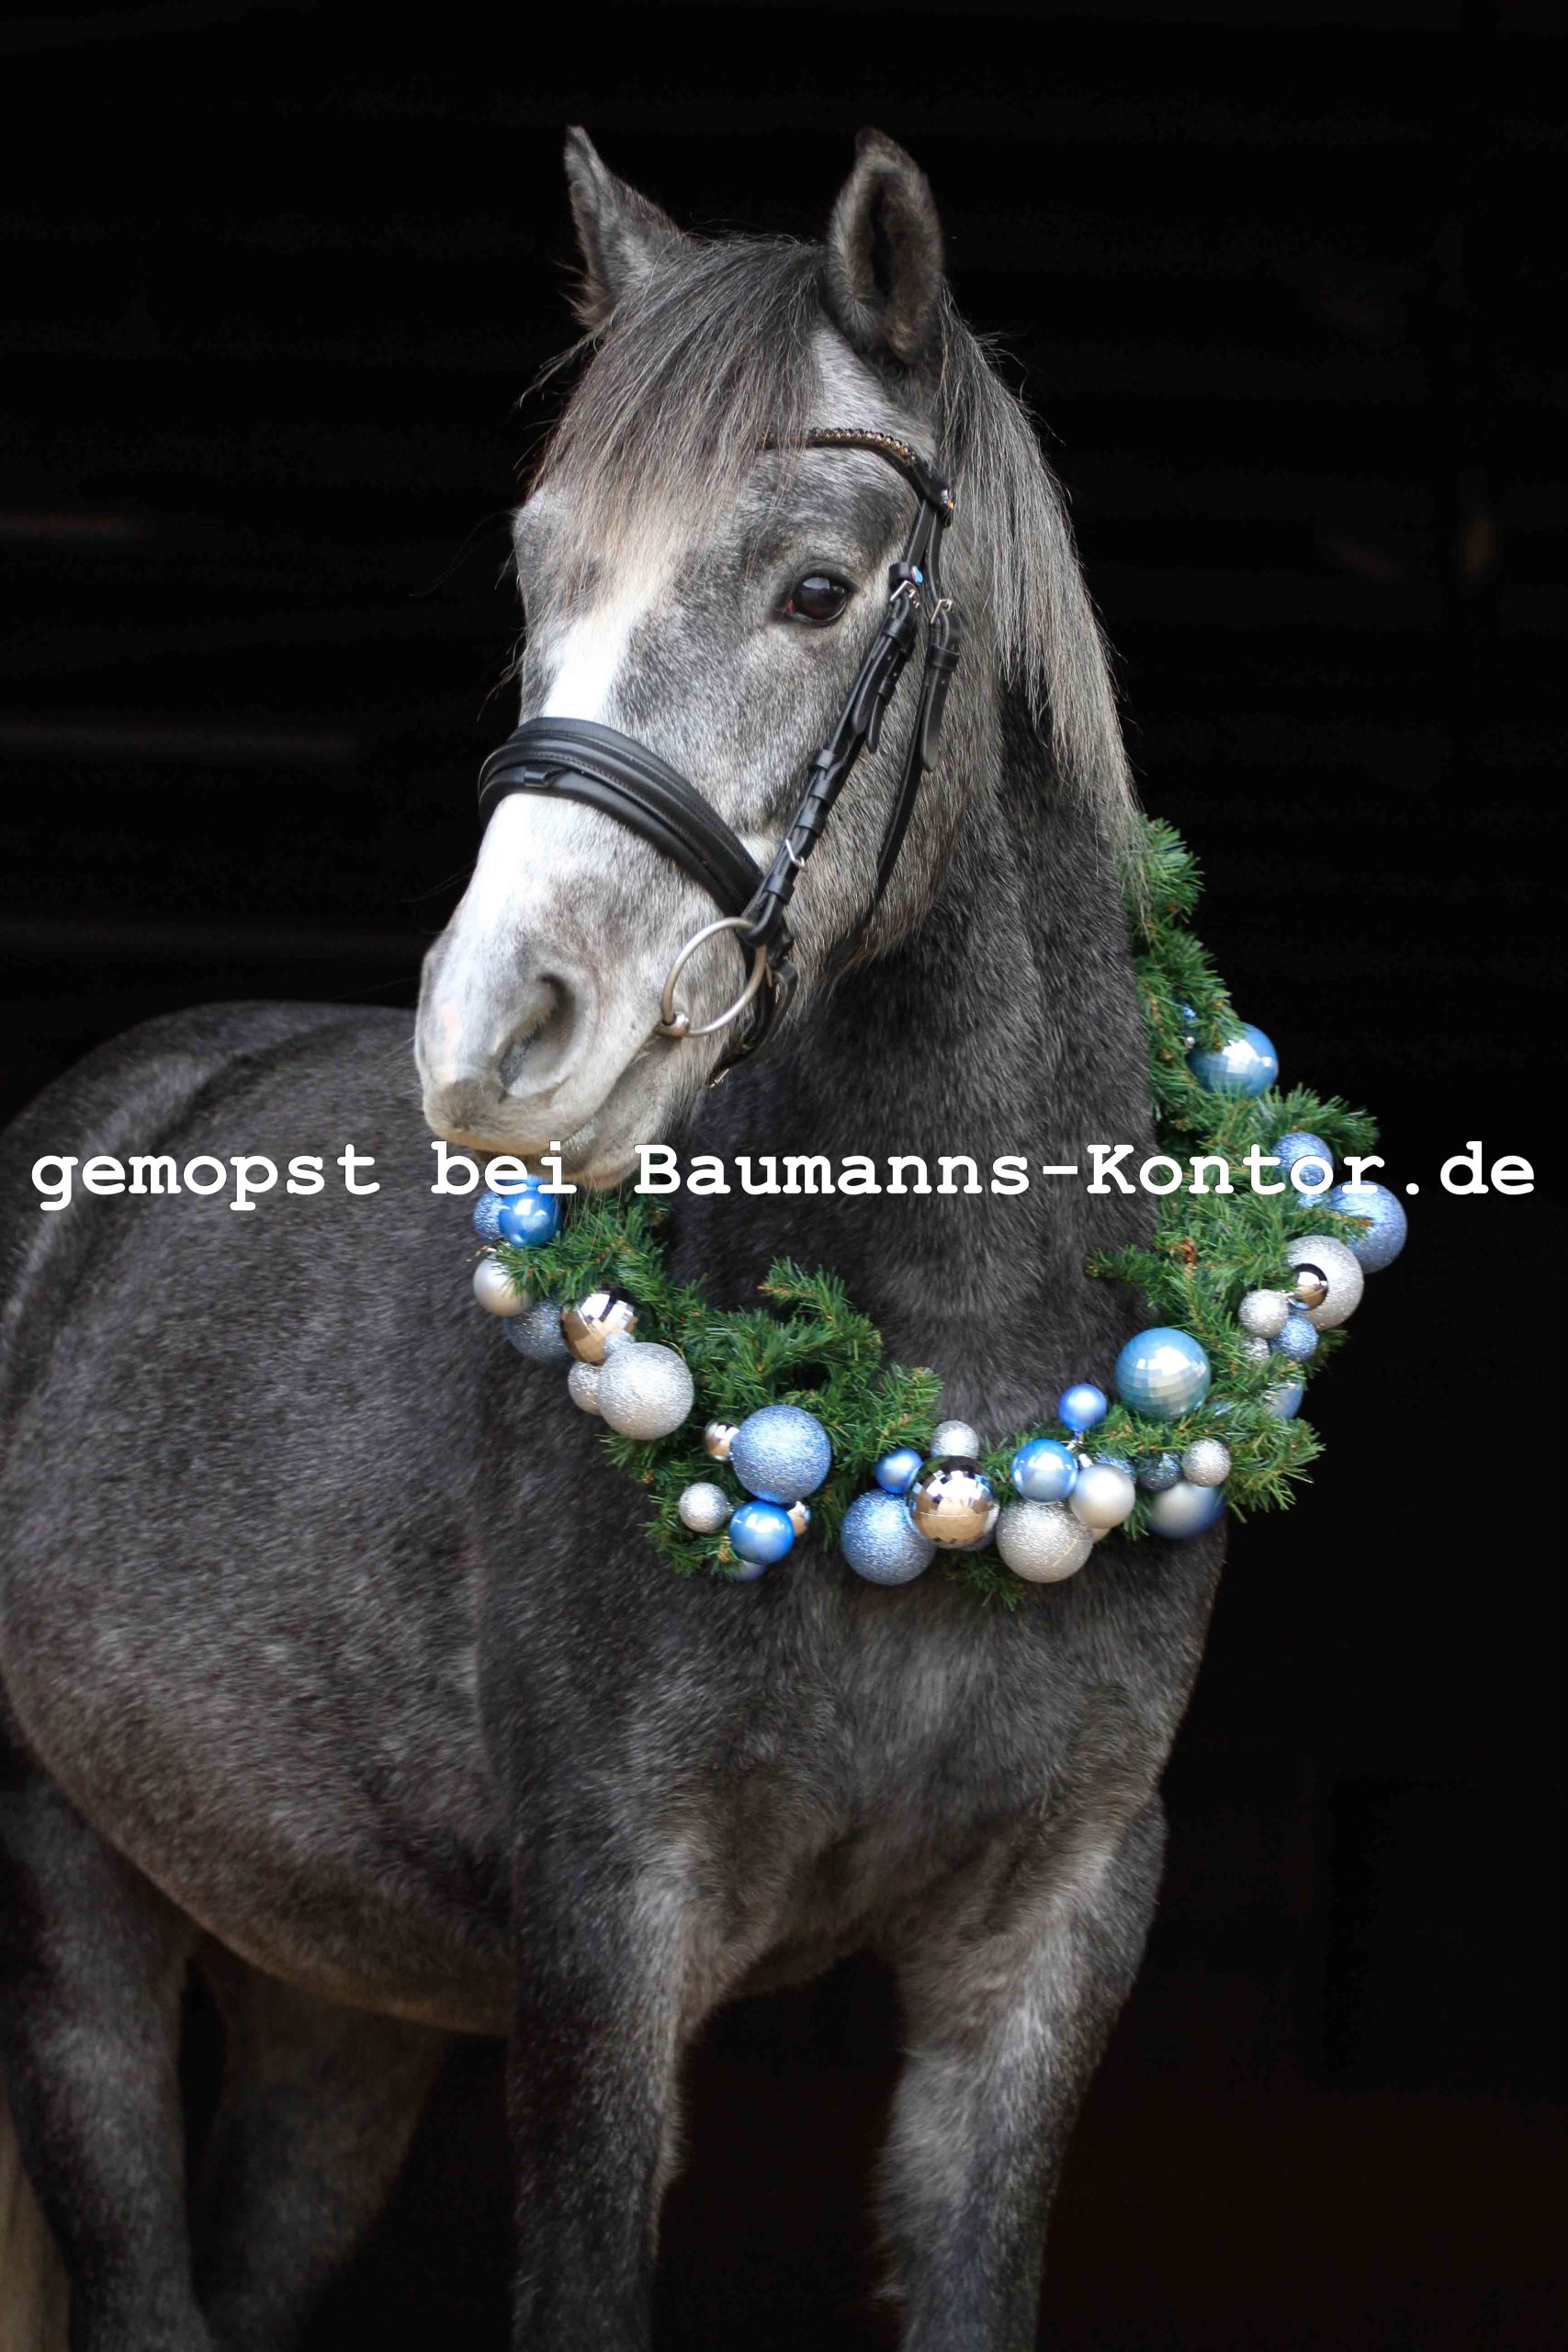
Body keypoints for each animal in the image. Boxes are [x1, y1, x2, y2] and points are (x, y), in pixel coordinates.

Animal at [0, 130, 1223, 2350]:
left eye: (817, 589)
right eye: (534, 570)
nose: (495, 1030)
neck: (937, 1406)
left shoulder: (1045, 1941)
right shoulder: (603, 1932)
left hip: (336, 2008)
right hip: (71, 1898)